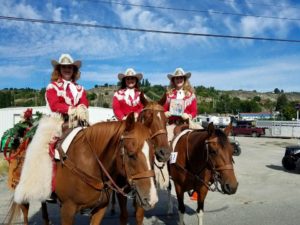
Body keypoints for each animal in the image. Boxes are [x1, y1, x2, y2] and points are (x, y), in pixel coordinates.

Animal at [4, 113, 158, 224]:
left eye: (153, 153)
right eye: (131, 155)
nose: (152, 199)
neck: (90, 164)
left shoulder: (99, 210)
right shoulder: (67, 210)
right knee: (25, 213)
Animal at [111, 97, 172, 225]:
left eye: (166, 120)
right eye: (148, 117)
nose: (164, 153)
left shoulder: (144, 187)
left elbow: (139, 214)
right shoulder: (121, 191)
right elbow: (124, 215)